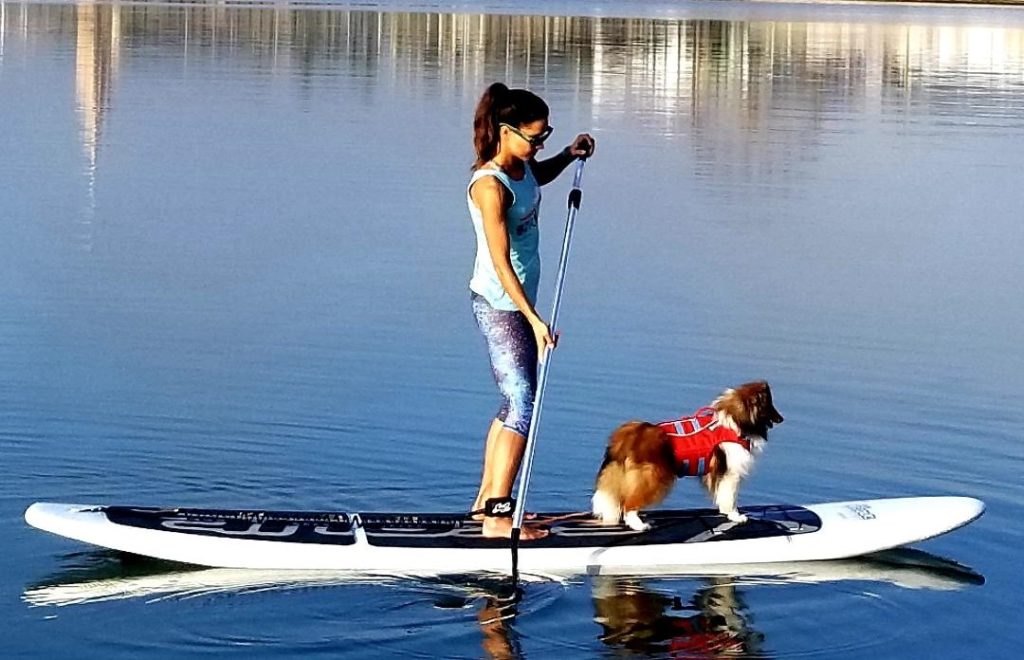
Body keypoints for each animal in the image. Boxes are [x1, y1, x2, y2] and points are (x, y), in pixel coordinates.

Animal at [593, 380, 782, 532]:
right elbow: (730, 497)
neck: (737, 421)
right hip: (653, 477)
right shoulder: (731, 473)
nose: (782, 419)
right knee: (629, 504)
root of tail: (630, 435)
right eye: (769, 406)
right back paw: (639, 525)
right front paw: (736, 516)